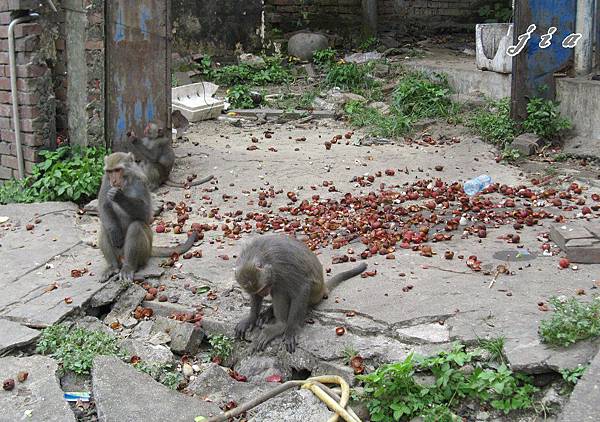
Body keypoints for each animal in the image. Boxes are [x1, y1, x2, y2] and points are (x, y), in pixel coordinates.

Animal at [99, 152, 198, 284]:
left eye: (118, 170)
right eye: (109, 171)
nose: (113, 180)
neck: (126, 182)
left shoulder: (141, 181)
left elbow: (145, 214)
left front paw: (119, 196)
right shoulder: (105, 181)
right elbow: (104, 206)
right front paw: (114, 231)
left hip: (145, 251)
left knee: (136, 226)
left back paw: (129, 267)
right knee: (105, 228)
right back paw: (112, 266)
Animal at [233, 234, 366, 352]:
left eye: (264, 288)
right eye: (261, 290)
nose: (264, 293)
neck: (257, 255)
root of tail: (322, 288)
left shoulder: (280, 266)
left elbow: (301, 288)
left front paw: (290, 330)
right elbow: (255, 296)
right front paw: (250, 319)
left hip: (314, 293)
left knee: (280, 288)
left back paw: (281, 325)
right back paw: (268, 313)